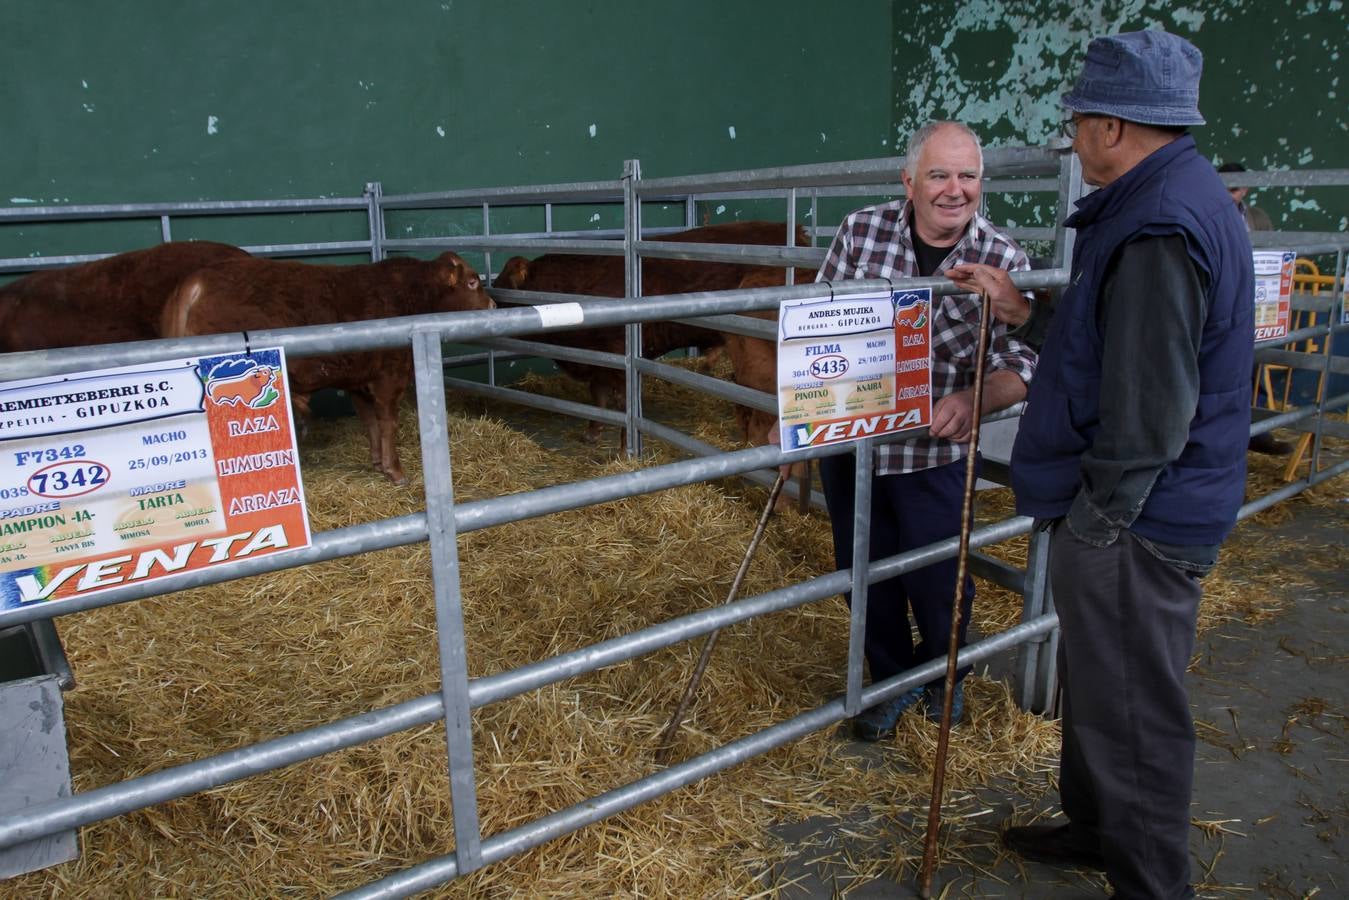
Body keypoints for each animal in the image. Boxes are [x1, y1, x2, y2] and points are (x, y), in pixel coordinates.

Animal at [160, 252, 493, 485]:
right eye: (472, 282)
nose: (491, 306)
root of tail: (197, 281)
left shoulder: (359, 380)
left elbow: (370, 422)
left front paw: (378, 463)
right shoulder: (390, 377)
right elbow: (388, 423)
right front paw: (395, 470)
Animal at [496, 218, 809, 442]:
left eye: (502, 283)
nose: (489, 300)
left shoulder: (618, 358)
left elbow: (623, 402)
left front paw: (624, 443)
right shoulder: (597, 361)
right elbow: (598, 396)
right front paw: (592, 432)